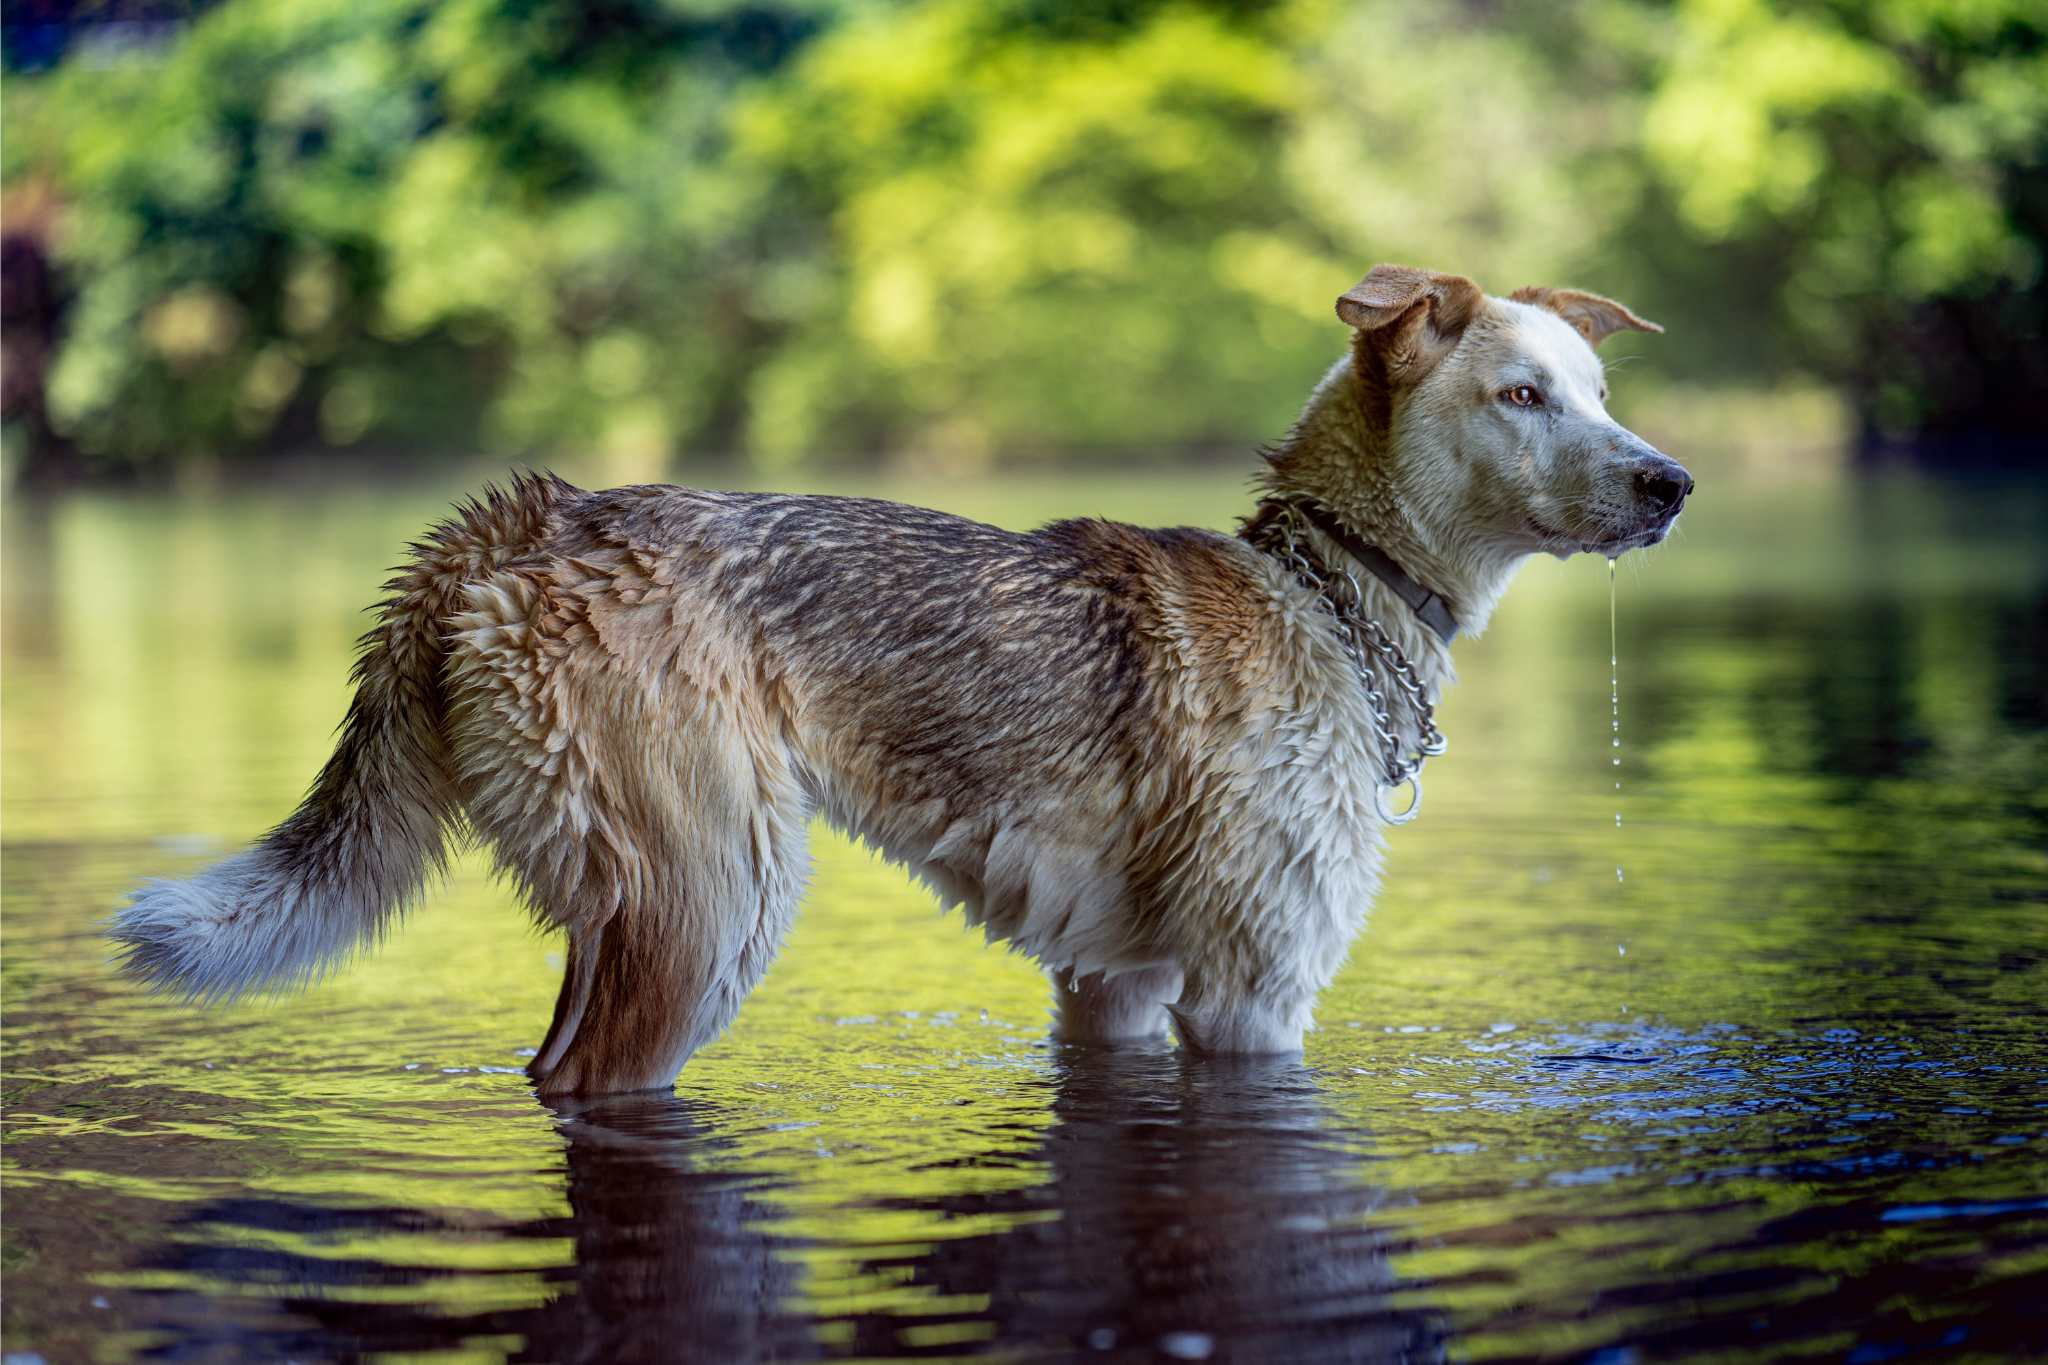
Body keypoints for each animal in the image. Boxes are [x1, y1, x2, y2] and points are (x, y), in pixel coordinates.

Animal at [103, 270, 1687, 1096]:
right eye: (1523, 396)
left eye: (1597, 393)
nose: (1672, 483)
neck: (1327, 585)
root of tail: (522, 520)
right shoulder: (1253, 994)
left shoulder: (1114, 986)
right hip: (712, 902)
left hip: (634, 907)